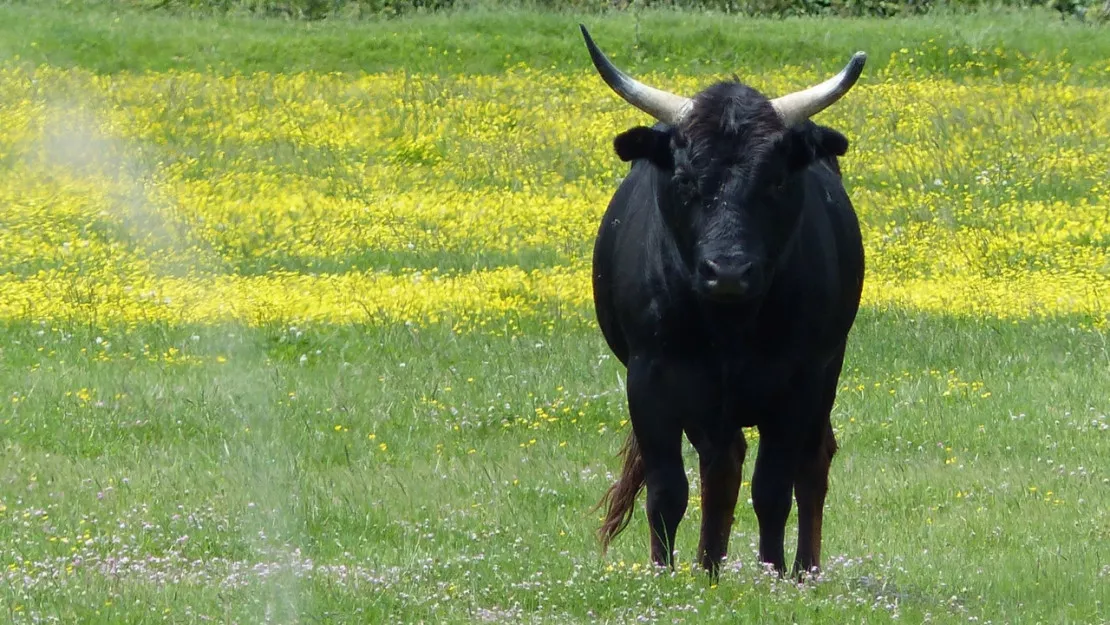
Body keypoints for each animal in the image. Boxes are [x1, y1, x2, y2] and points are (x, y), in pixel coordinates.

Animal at [581, 25, 865, 581]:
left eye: (776, 179)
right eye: (685, 179)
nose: (728, 271)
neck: (729, 324)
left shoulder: (799, 380)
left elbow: (773, 487)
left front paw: (772, 573)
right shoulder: (650, 379)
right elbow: (667, 490)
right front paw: (664, 575)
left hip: (826, 374)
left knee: (811, 463)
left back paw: (805, 570)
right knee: (723, 465)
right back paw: (709, 566)